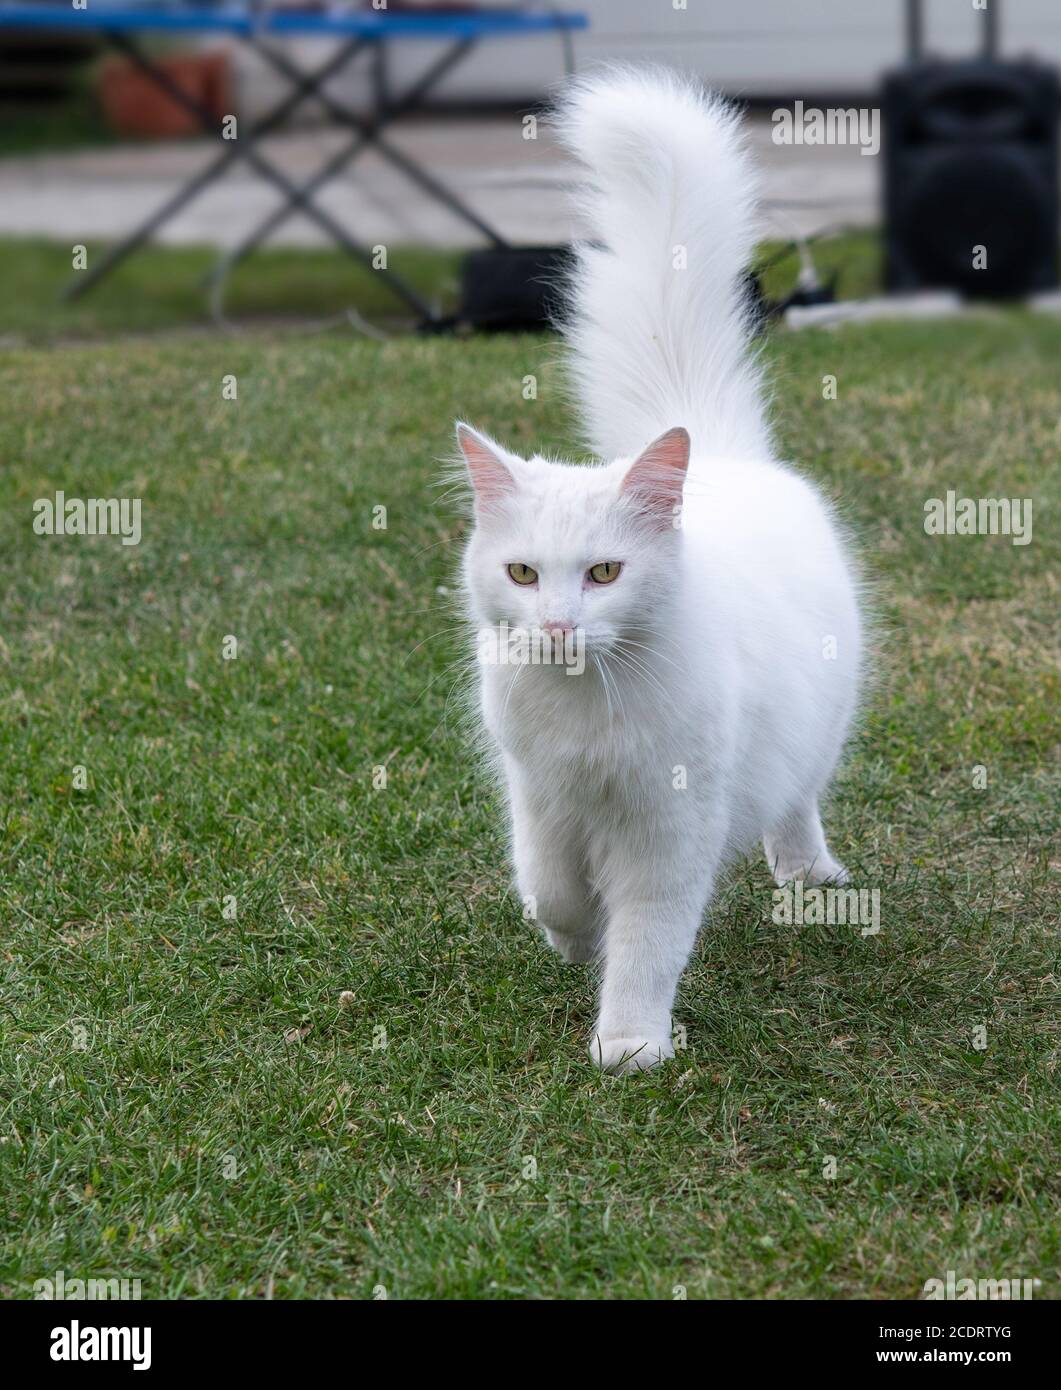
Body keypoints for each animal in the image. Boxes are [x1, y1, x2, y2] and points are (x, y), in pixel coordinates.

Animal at [453, 67, 862, 1073]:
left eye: (603, 574)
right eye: (524, 575)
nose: (560, 626)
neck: (587, 712)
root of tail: (718, 452)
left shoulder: (666, 833)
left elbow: (646, 942)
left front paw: (630, 1044)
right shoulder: (540, 800)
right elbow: (551, 887)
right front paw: (571, 941)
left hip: (813, 734)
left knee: (797, 799)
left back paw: (806, 873)